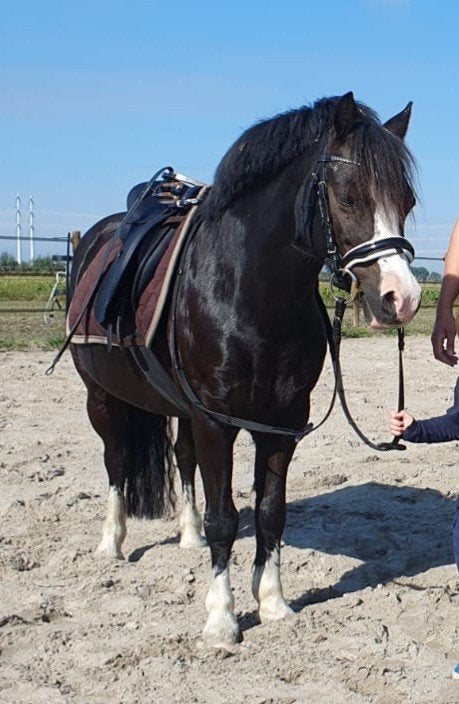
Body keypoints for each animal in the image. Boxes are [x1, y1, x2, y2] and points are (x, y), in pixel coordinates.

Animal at [68, 92, 421, 648]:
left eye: (406, 202)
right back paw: (112, 543)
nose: (402, 299)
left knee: (180, 459)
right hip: (102, 397)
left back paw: (186, 534)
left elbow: (271, 511)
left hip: (178, 407)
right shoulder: (217, 423)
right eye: (348, 197)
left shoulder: (280, 426)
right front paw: (221, 620)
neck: (247, 293)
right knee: (117, 461)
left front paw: (273, 603)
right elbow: (225, 519)